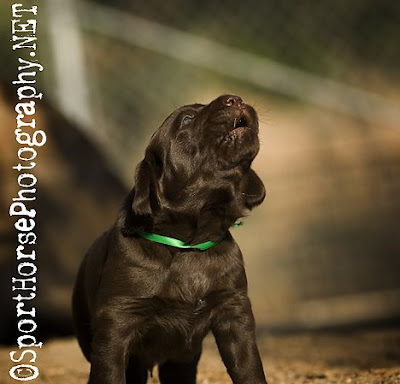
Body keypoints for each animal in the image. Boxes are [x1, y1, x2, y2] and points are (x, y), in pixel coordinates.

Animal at [73, 94, 268, 384]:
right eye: (186, 120)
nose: (235, 98)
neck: (190, 244)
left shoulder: (233, 309)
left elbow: (249, 367)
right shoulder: (117, 318)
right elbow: (109, 373)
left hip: (181, 361)